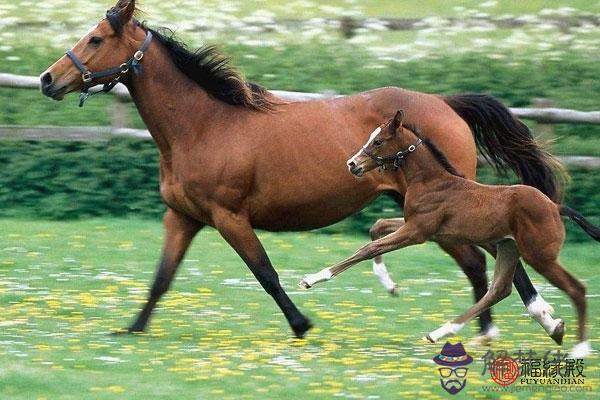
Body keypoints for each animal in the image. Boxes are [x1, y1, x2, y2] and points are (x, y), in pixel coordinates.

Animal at [39, 0, 564, 340]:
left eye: (96, 38)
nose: (47, 80)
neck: (204, 125)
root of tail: (446, 103)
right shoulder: (183, 217)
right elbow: (162, 278)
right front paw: (131, 329)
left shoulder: (229, 216)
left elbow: (265, 272)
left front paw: (302, 324)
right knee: (479, 261)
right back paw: (489, 330)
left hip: (447, 206)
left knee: (490, 259)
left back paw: (535, 321)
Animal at [302, 111, 596, 358]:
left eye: (378, 141)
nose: (352, 164)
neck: (431, 181)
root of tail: (554, 206)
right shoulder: (421, 228)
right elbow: (377, 227)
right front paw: (388, 283)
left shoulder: (417, 232)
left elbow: (368, 248)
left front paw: (312, 279)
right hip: (508, 248)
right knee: (499, 290)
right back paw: (440, 333)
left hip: (539, 256)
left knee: (576, 288)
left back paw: (580, 349)